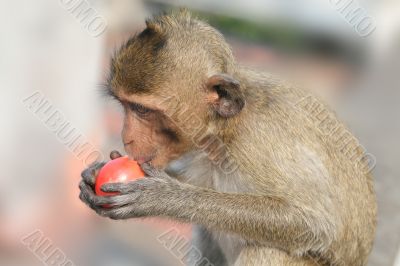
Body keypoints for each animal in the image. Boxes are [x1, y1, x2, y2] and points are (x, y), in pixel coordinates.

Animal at [79, 10, 376, 266]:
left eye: (142, 110)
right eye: (124, 105)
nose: (125, 137)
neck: (225, 128)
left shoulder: (258, 141)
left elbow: (317, 225)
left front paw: (165, 197)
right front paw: (93, 175)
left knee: (267, 249)